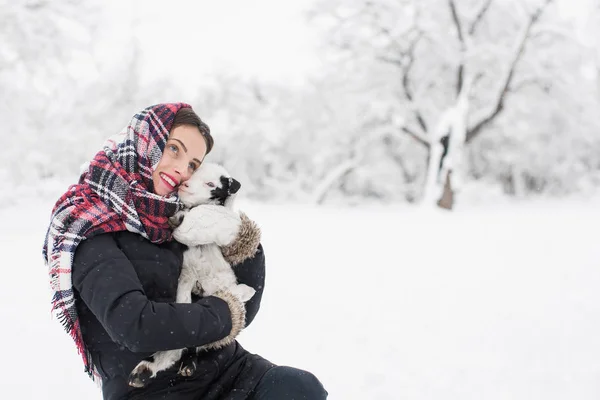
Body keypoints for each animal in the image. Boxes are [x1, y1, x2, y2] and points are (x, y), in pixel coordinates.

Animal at [126, 162, 258, 388]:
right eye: (193, 172)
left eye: (211, 184)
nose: (184, 185)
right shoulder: (186, 276)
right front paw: (178, 217)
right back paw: (149, 368)